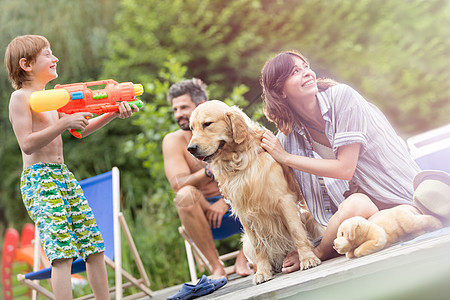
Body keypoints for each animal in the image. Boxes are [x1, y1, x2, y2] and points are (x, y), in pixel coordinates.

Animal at [186, 100, 324, 284]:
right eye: (191, 128)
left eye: (207, 124)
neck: (239, 161)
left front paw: (307, 258)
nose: (190, 148)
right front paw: (263, 272)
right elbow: (259, 246)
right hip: (245, 243)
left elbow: (296, 231)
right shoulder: (244, 213)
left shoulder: (284, 200)